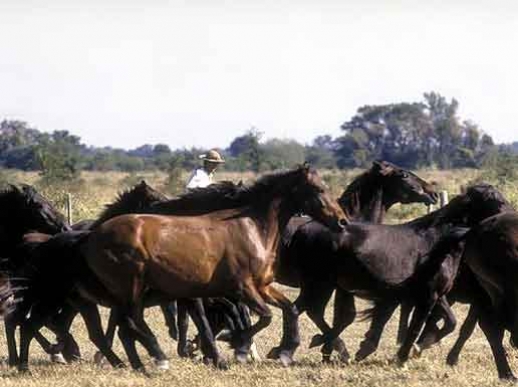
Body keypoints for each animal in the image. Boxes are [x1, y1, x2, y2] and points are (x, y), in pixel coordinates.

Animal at [280, 183, 512, 366]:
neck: (441, 243)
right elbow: (416, 326)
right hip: (319, 284)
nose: (508, 218)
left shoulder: (438, 295)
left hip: (324, 285)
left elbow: (449, 322)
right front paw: (403, 356)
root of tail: (302, 230)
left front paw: (417, 348)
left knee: (305, 310)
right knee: (301, 309)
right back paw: (291, 351)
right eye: (495, 200)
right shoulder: (426, 297)